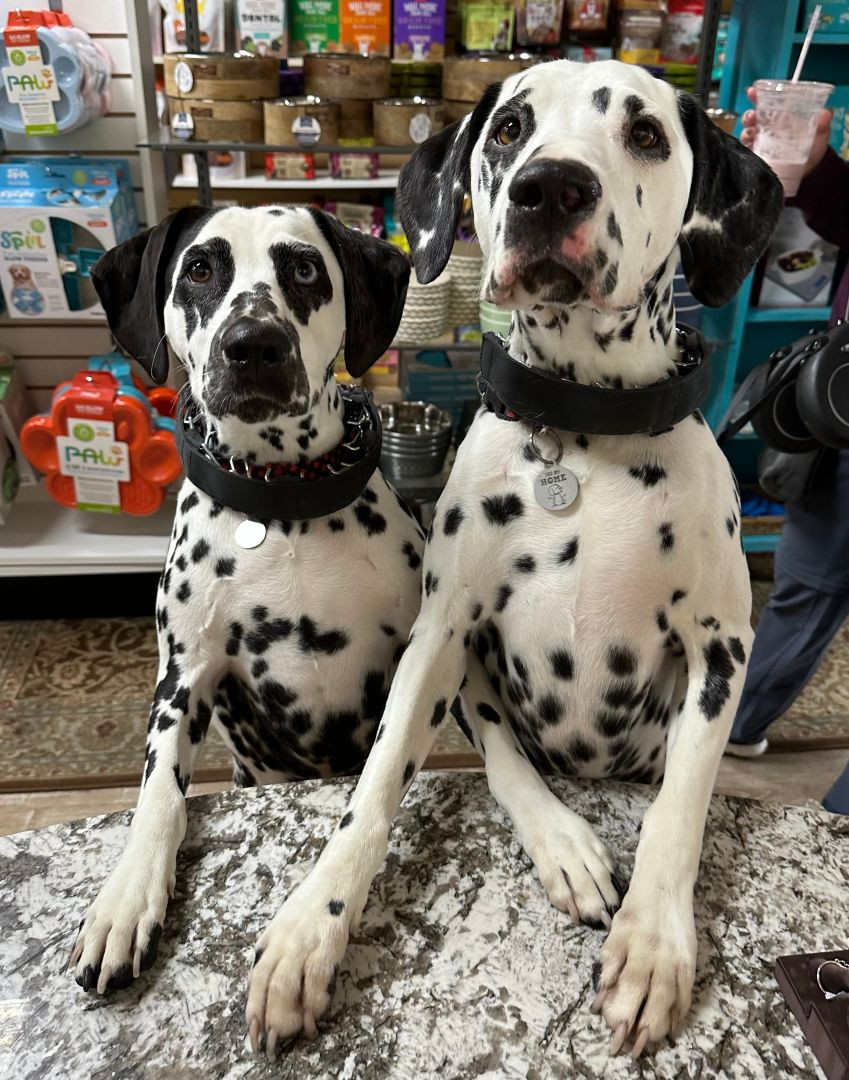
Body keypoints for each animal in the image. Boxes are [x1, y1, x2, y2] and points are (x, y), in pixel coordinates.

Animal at [66, 203, 423, 993]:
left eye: (305, 269)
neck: (280, 502)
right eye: (201, 268)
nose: (253, 345)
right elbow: (158, 797)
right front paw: (124, 898)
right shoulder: (182, 681)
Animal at [239, 56, 782, 1054]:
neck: (585, 431)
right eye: (507, 129)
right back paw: (561, 842)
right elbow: (376, 784)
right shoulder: (438, 635)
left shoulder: (721, 653)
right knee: (499, 752)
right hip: (470, 676)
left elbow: (680, 808)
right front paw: (308, 931)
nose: (550, 187)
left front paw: (654, 944)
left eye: (645, 132)